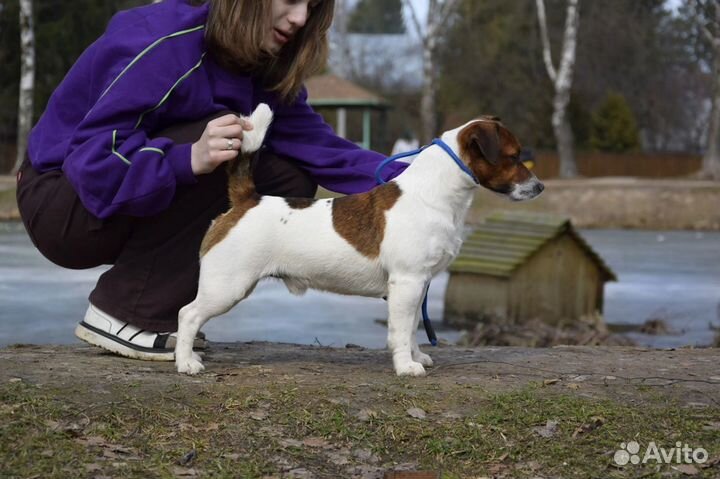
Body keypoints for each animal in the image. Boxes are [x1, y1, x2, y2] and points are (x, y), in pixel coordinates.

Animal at [176, 105, 540, 378]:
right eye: (513, 156)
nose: (539, 187)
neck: (432, 194)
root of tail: (246, 201)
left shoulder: (418, 284)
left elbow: (411, 328)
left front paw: (416, 356)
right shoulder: (407, 282)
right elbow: (400, 330)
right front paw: (405, 366)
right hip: (227, 286)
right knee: (188, 315)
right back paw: (186, 362)